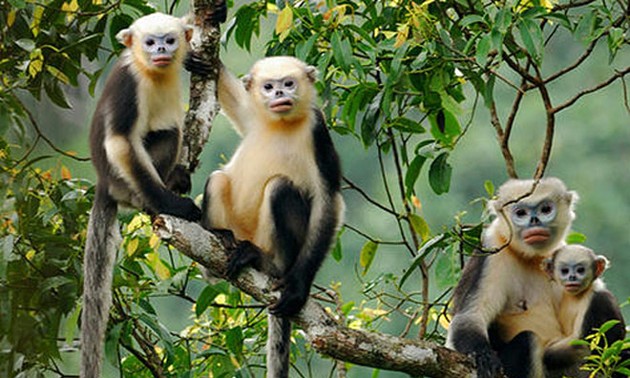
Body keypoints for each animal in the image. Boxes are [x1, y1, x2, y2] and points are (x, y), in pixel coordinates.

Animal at [186, 54, 346, 378]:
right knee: (218, 179)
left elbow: (329, 201)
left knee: (279, 188)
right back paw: (220, 246)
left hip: (277, 246)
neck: (282, 123)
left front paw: (298, 290)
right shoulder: (253, 114)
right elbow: (236, 103)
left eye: (289, 83)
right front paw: (205, 64)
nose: (280, 94)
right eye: (269, 87)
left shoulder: (318, 130)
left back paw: (263, 261)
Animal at [446, 178, 580, 378]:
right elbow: (468, 317)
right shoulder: (491, 250)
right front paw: (483, 355)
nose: (534, 220)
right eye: (521, 213)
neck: (532, 258)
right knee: (528, 339)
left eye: (546, 209)